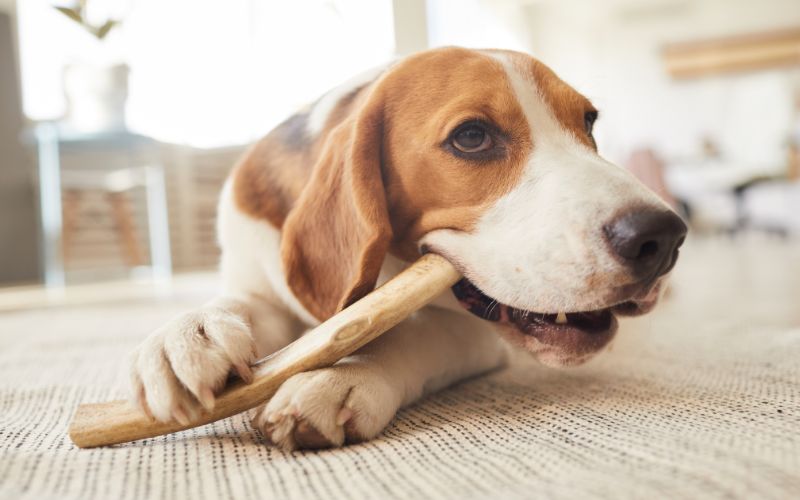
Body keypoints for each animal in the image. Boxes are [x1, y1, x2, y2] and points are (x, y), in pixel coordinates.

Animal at [128, 48, 684, 452]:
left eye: (588, 123)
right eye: (472, 137)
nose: (663, 237)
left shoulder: (468, 331)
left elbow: (410, 333)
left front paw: (340, 377)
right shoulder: (256, 283)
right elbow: (236, 307)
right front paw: (187, 336)